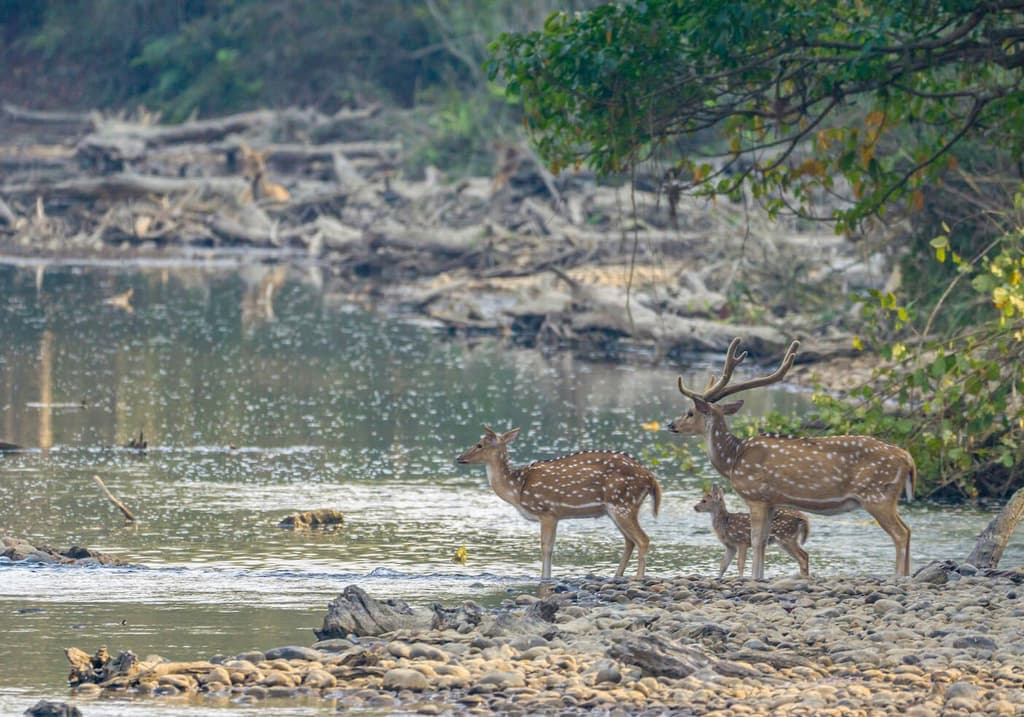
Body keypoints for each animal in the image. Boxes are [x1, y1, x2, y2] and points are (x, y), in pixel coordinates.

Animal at [456, 428, 663, 581]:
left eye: (479, 444)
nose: (459, 458)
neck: (516, 489)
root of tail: (651, 477)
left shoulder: (546, 510)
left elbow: (546, 546)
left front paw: (544, 578)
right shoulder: (555, 515)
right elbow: (551, 546)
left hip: (623, 503)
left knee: (643, 539)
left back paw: (638, 577)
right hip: (615, 508)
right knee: (630, 541)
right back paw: (617, 575)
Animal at [667, 338, 917, 581]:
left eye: (690, 412)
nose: (671, 425)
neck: (733, 459)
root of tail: (907, 457)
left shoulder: (756, 495)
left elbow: (756, 541)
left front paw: (754, 578)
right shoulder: (771, 501)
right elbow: (763, 542)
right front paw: (760, 577)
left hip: (876, 494)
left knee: (901, 533)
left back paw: (899, 577)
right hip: (888, 496)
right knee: (908, 530)